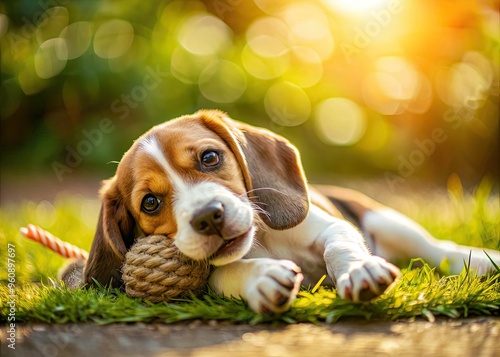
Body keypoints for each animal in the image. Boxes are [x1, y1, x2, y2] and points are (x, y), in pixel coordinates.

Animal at [84, 110, 500, 312]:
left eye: (210, 157)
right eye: (150, 203)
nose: (207, 216)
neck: (264, 239)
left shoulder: (331, 227)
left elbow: (340, 247)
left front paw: (359, 270)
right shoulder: (208, 277)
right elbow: (227, 272)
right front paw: (261, 278)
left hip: (385, 219)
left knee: (437, 248)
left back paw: (479, 260)